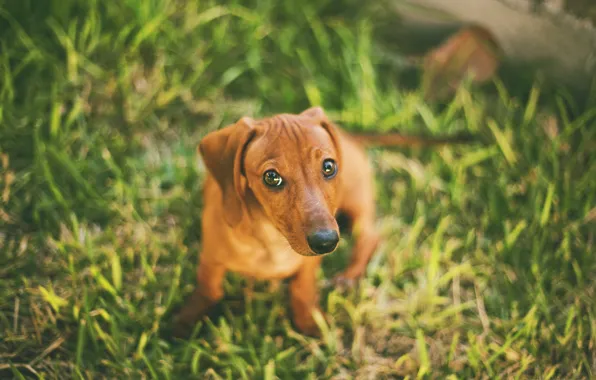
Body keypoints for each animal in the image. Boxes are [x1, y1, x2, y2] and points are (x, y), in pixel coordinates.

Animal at [172, 106, 470, 336]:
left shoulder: (310, 263)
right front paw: (185, 321)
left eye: (328, 166)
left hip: (357, 202)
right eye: (271, 177)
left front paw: (310, 323)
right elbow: (209, 289)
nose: (326, 242)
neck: (274, 239)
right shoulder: (210, 258)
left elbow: (302, 289)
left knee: (370, 237)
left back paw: (348, 278)